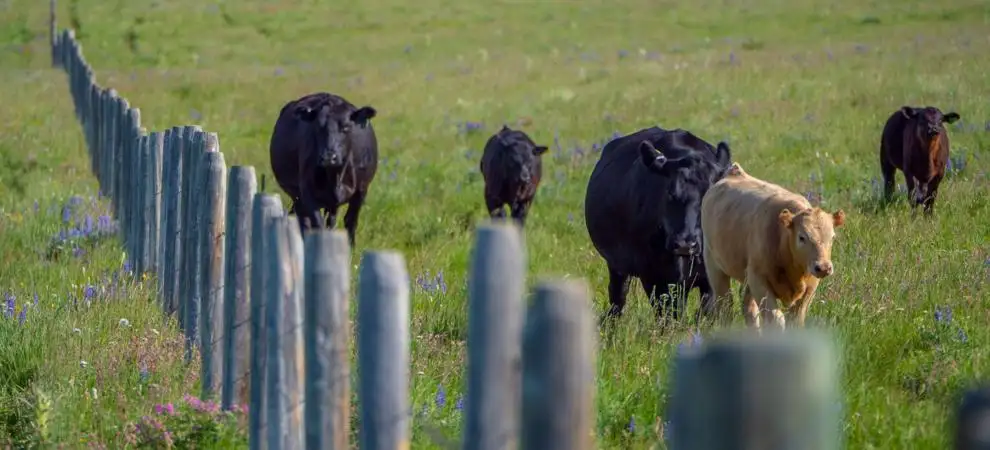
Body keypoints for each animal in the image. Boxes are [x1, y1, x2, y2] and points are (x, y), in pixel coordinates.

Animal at [268, 92, 378, 247]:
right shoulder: (306, 192)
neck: (336, 175)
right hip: (298, 196)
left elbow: (350, 221)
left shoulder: (361, 190)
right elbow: (317, 224)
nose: (328, 157)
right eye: (318, 127)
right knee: (304, 221)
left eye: (346, 127)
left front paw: (351, 248)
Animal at [584, 126, 733, 324]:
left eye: (708, 195)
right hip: (617, 266)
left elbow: (704, 311)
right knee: (618, 298)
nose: (685, 244)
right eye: (669, 192)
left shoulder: (710, 276)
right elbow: (667, 313)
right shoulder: (652, 275)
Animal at [699, 162, 846, 331]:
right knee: (725, 305)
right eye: (802, 237)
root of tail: (735, 172)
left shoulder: (810, 288)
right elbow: (776, 320)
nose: (823, 267)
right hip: (714, 266)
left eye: (832, 237)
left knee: (748, 307)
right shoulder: (759, 280)